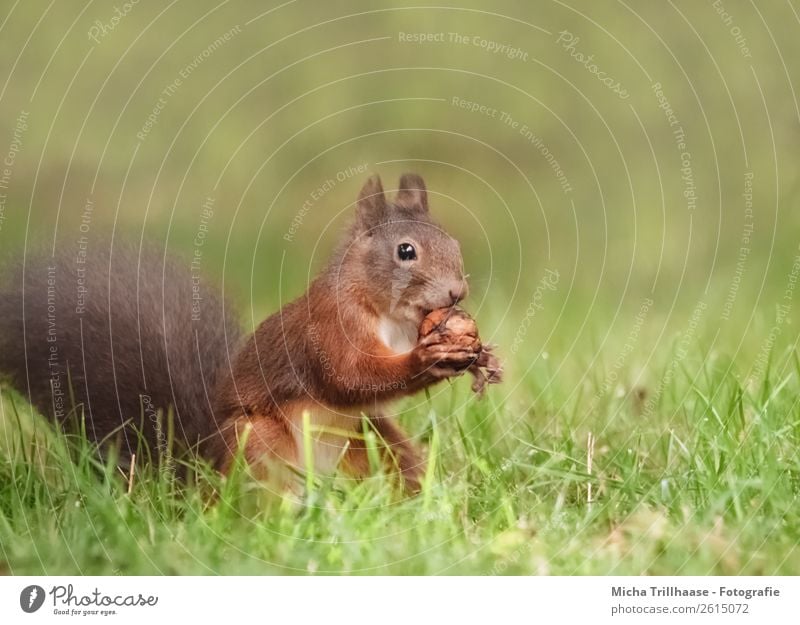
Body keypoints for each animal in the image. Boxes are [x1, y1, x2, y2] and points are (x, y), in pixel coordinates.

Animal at [0, 173, 478, 490]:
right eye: (405, 251)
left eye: (454, 244)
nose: (457, 291)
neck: (390, 316)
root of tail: (202, 473)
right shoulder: (328, 328)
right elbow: (350, 374)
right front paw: (427, 359)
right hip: (259, 443)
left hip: (371, 440)